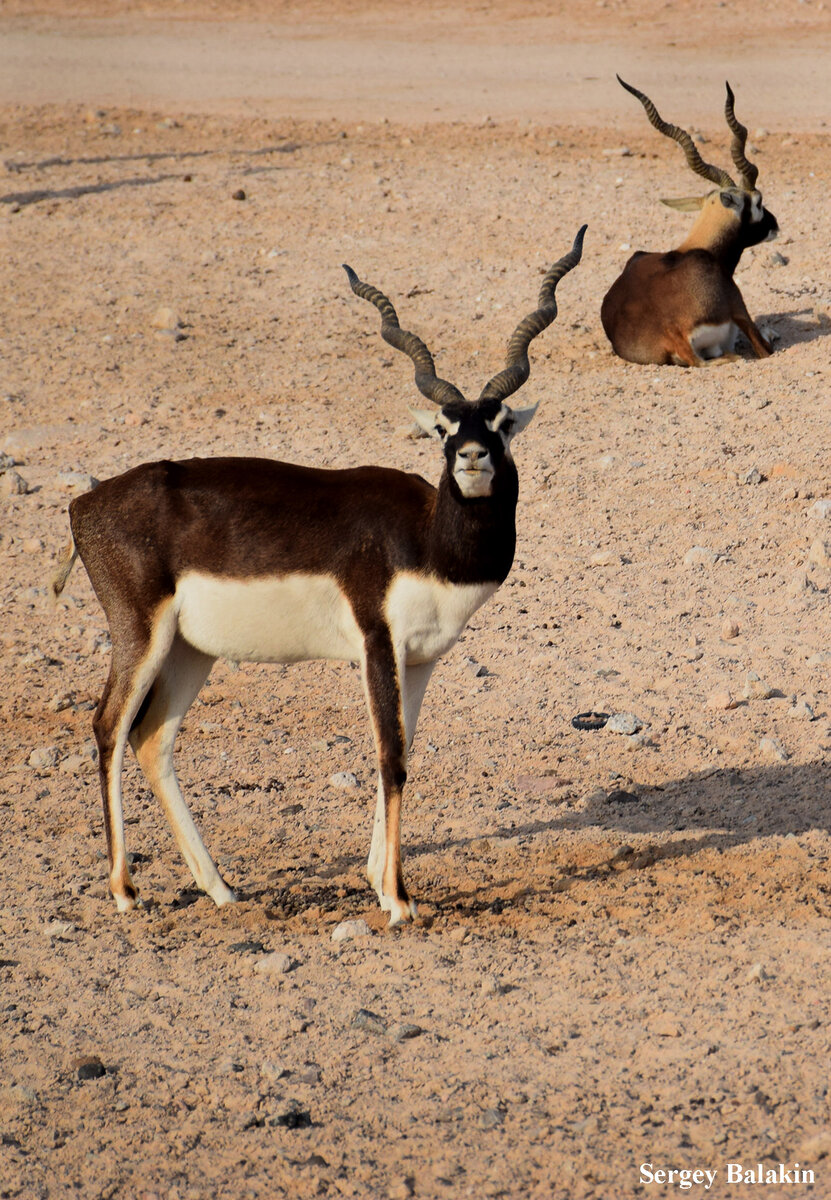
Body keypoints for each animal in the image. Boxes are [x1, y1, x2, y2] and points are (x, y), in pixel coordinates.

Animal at [53, 229, 583, 931]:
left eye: (497, 424)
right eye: (445, 428)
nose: (472, 458)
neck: (428, 538)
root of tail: (85, 504)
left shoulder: (420, 659)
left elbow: (403, 750)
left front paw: (382, 883)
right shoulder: (376, 642)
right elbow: (390, 757)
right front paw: (398, 901)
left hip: (192, 649)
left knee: (151, 738)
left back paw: (220, 888)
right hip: (140, 633)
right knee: (109, 727)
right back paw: (123, 890)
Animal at [600, 76, 778, 364]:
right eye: (759, 201)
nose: (774, 225)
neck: (701, 249)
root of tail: (672, 334)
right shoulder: (741, 309)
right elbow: (764, 347)